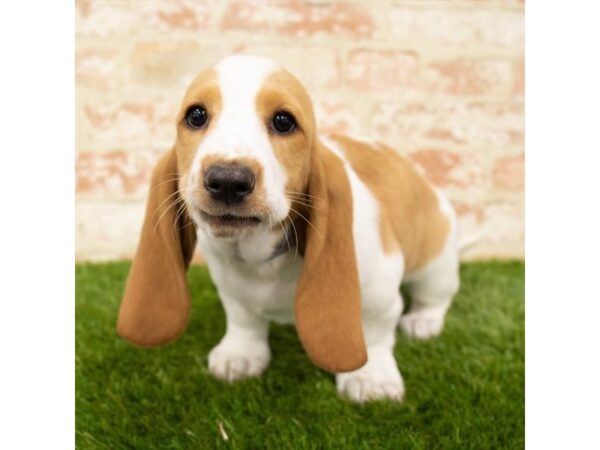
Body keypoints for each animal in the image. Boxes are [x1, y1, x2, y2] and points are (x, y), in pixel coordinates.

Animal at [119, 54, 462, 402]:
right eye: (196, 115)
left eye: (284, 121)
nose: (228, 180)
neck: (261, 256)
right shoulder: (231, 287)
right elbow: (243, 318)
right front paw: (240, 355)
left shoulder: (379, 290)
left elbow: (375, 331)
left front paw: (370, 378)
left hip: (435, 264)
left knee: (437, 295)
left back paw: (422, 321)